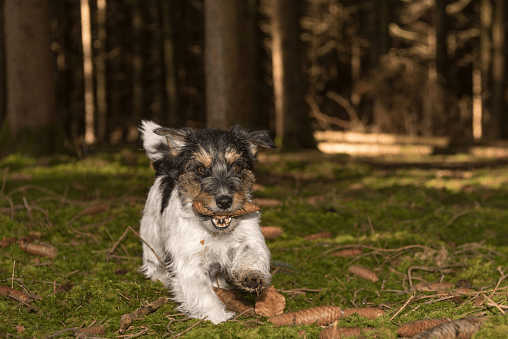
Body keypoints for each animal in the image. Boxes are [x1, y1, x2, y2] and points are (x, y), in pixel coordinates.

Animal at [138, 121, 274, 326]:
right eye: (201, 170)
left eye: (237, 167)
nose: (224, 201)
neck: (215, 232)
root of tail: (165, 166)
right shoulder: (190, 262)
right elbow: (203, 293)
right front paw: (217, 319)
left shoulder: (250, 236)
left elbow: (251, 253)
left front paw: (252, 275)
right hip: (151, 235)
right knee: (153, 260)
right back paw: (160, 277)